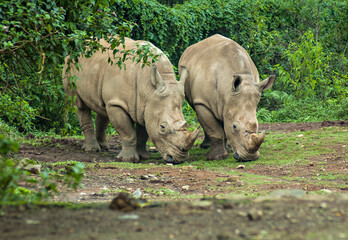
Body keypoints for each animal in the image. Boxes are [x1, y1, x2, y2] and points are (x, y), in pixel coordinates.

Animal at [62, 37, 198, 164]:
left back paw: (104, 146)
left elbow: (143, 133)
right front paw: (128, 159)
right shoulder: (119, 103)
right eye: (162, 127)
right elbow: (128, 132)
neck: (149, 88)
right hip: (70, 66)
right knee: (80, 105)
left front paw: (144, 156)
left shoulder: (145, 105)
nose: (179, 159)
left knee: (103, 107)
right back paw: (91, 149)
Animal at [179, 33, 274, 161]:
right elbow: (214, 129)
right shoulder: (203, 102)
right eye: (234, 126)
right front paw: (218, 157)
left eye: (257, 126)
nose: (249, 157)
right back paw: (207, 146)